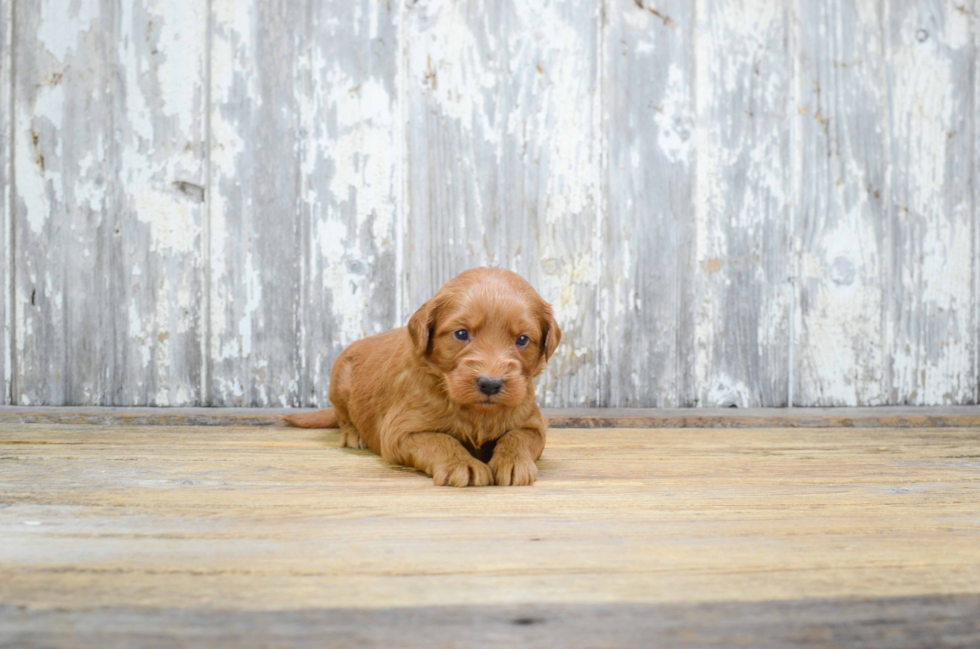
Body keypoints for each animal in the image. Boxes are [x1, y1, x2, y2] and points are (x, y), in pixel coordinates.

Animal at [286, 268, 560, 486]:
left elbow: (516, 436)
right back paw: (354, 434)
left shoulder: (533, 423)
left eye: (522, 339)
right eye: (461, 333)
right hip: (339, 378)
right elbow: (439, 439)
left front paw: (513, 462)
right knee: (344, 416)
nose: (490, 384)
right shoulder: (400, 432)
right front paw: (462, 465)